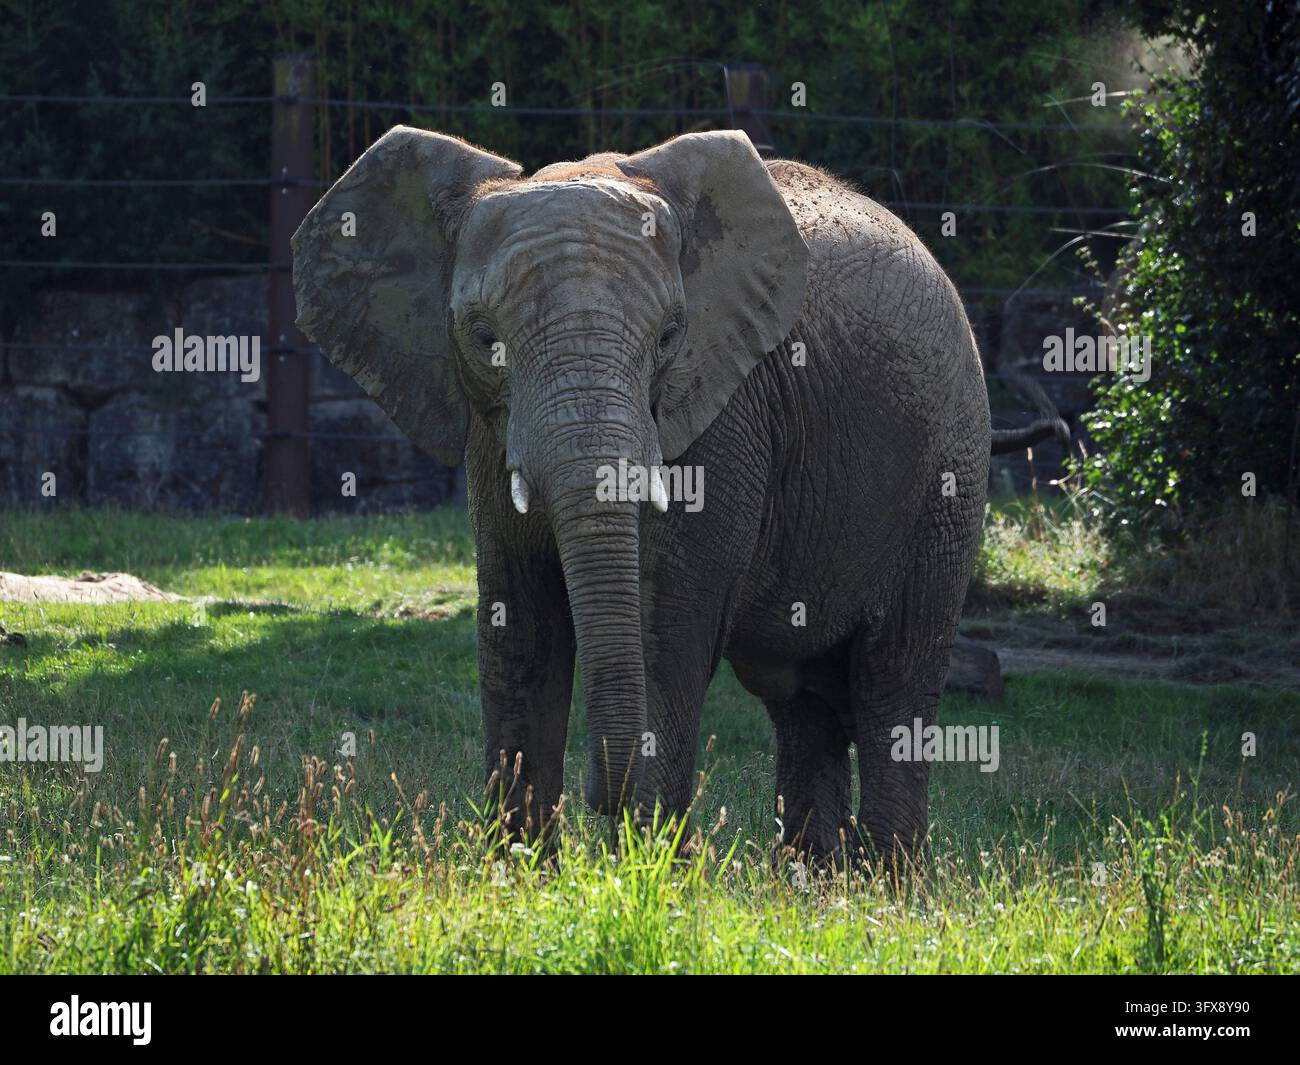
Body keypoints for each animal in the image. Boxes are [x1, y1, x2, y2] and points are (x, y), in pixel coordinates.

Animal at [292, 126, 1059, 863]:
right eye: (486, 340)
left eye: (668, 338)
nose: (599, 795)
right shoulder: (487, 425)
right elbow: (518, 627)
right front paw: (521, 875)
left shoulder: (726, 410)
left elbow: (665, 627)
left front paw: (651, 876)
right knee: (806, 703)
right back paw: (817, 882)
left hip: (947, 476)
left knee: (891, 681)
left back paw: (883, 886)